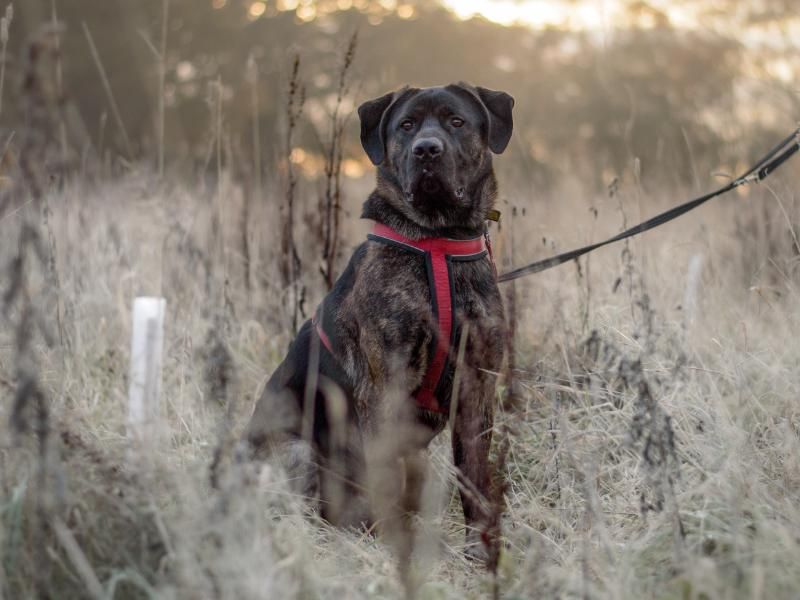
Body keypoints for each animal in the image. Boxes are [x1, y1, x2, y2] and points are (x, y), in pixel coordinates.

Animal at [244, 82, 516, 568]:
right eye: (406, 125)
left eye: (456, 121)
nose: (427, 150)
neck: (438, 241)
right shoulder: (384, 385)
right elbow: (385, 479)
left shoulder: (476, 387)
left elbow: (475, 480)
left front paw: (480, 554)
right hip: (297, 449)